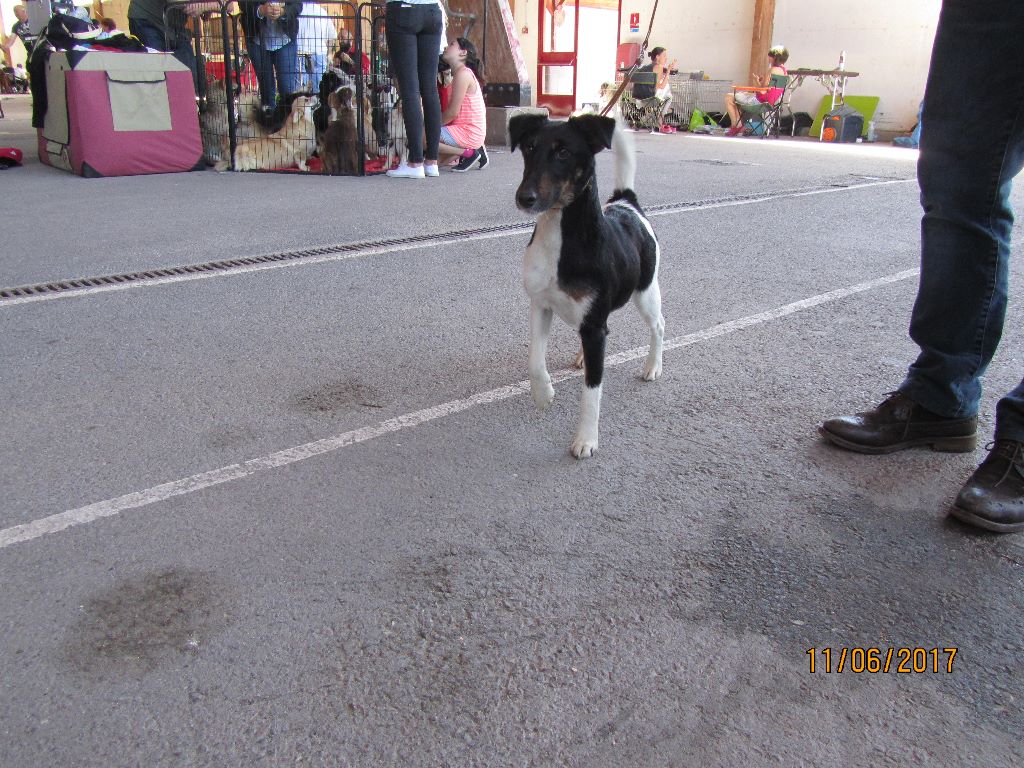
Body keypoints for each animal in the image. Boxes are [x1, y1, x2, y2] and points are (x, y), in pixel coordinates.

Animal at [509, 114, 663, 460]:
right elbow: (534, 359)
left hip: (646, 291)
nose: (525, 198)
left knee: (658, 325)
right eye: (529, 147)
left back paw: (652, 366)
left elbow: (592, 392)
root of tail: (626, 203)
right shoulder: (541, 304)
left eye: (564, 153)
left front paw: (586, 440)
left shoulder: (594, 328)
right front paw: (543, 393)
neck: (562, 238)